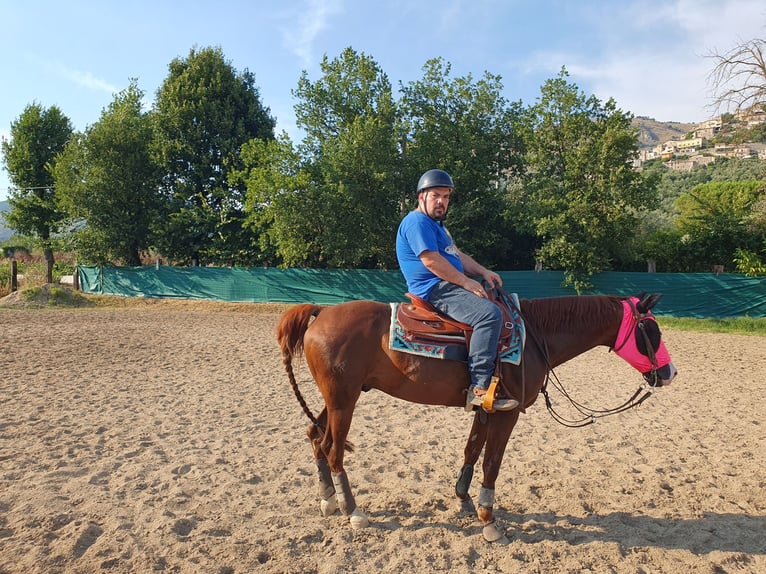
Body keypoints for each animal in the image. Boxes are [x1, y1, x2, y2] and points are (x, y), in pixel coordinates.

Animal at [275, 292, 677, 542]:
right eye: (651, 329)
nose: (669, 373)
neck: (535, 336)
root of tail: (321, 312)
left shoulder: (486, 409)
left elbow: (471, 451)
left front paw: (464, 501)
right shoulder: (507, 414)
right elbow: (492, 463)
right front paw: (489, 520)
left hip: (339, 397)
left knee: (316, 437)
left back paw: (328, 501)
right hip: (344, 399)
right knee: (333, 449)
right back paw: (353, 511)